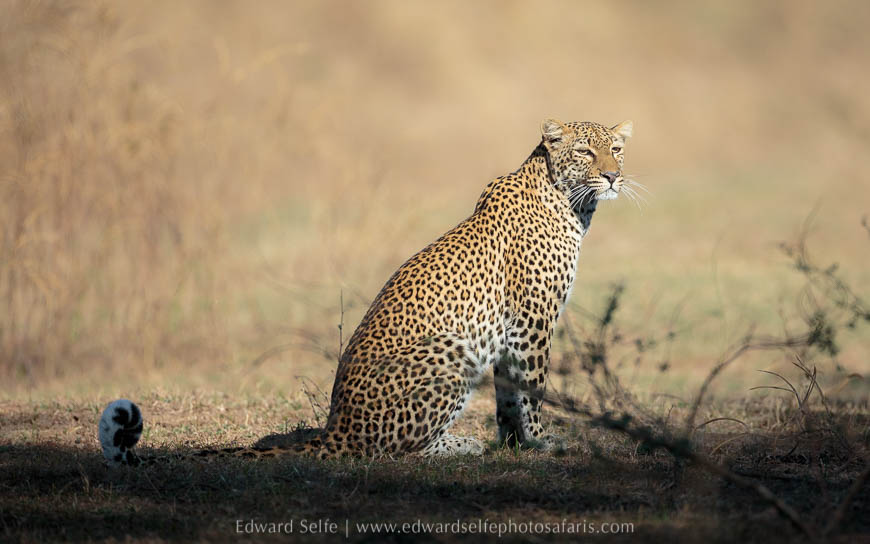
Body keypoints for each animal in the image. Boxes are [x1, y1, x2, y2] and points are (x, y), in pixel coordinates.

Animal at [99, 118, 637, 465]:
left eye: (616, 149)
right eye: (586, 152)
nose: (613, 175)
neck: (570, 201)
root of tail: (336, 428)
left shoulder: (512, 331)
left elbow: (509, 394)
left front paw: (513, 445)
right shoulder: (531, 323)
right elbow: (531, 389)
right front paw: (542, 442)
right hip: (451, 348)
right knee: (390, 450)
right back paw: (457, 446)